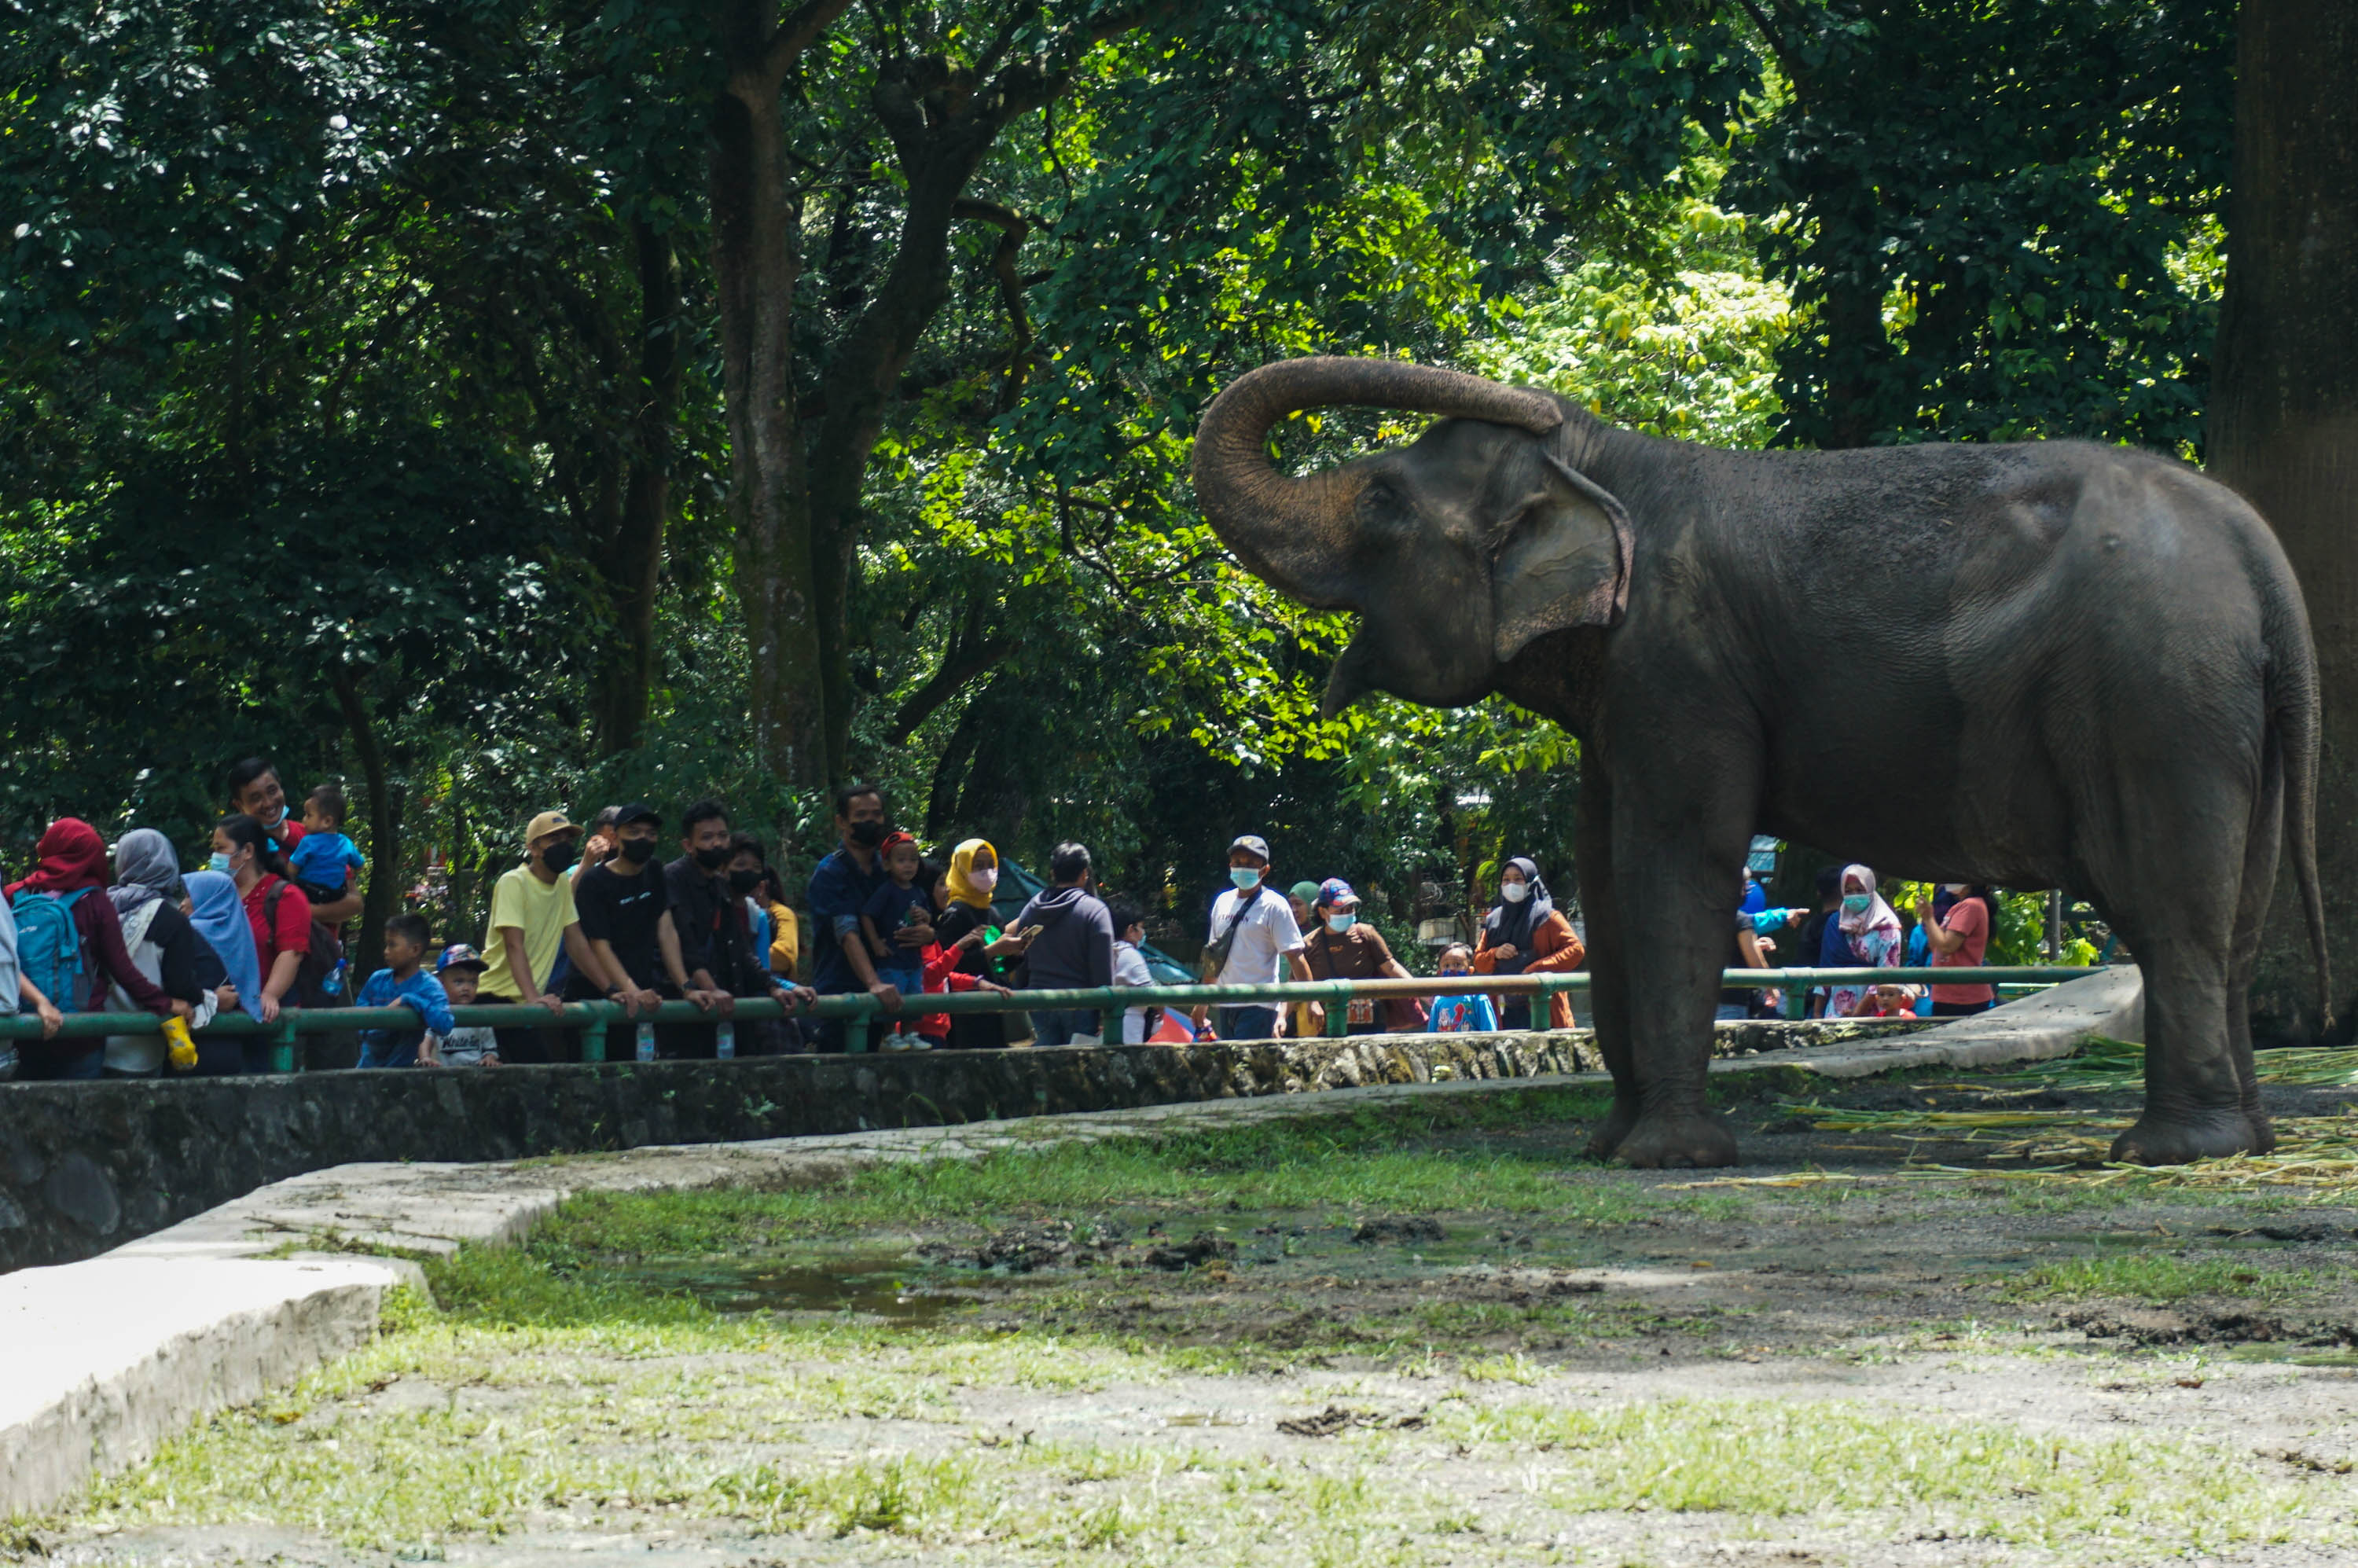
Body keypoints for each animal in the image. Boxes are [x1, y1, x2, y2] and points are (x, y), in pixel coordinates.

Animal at [1188, 354, 2330, 1160]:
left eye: (1383, 501)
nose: (1542, 400)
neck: (1608, 466)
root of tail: (2259, 549)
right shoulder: (1627, 697)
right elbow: (1605, 871)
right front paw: (1607, 1148)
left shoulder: (1681, 669)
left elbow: (1676, 861)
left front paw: (1664, 1157)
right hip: (2220, 711)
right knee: (2232, 917)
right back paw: (2245, 1137)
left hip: (2152, 697)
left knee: (2168, 906)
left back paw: (2169, 1149)